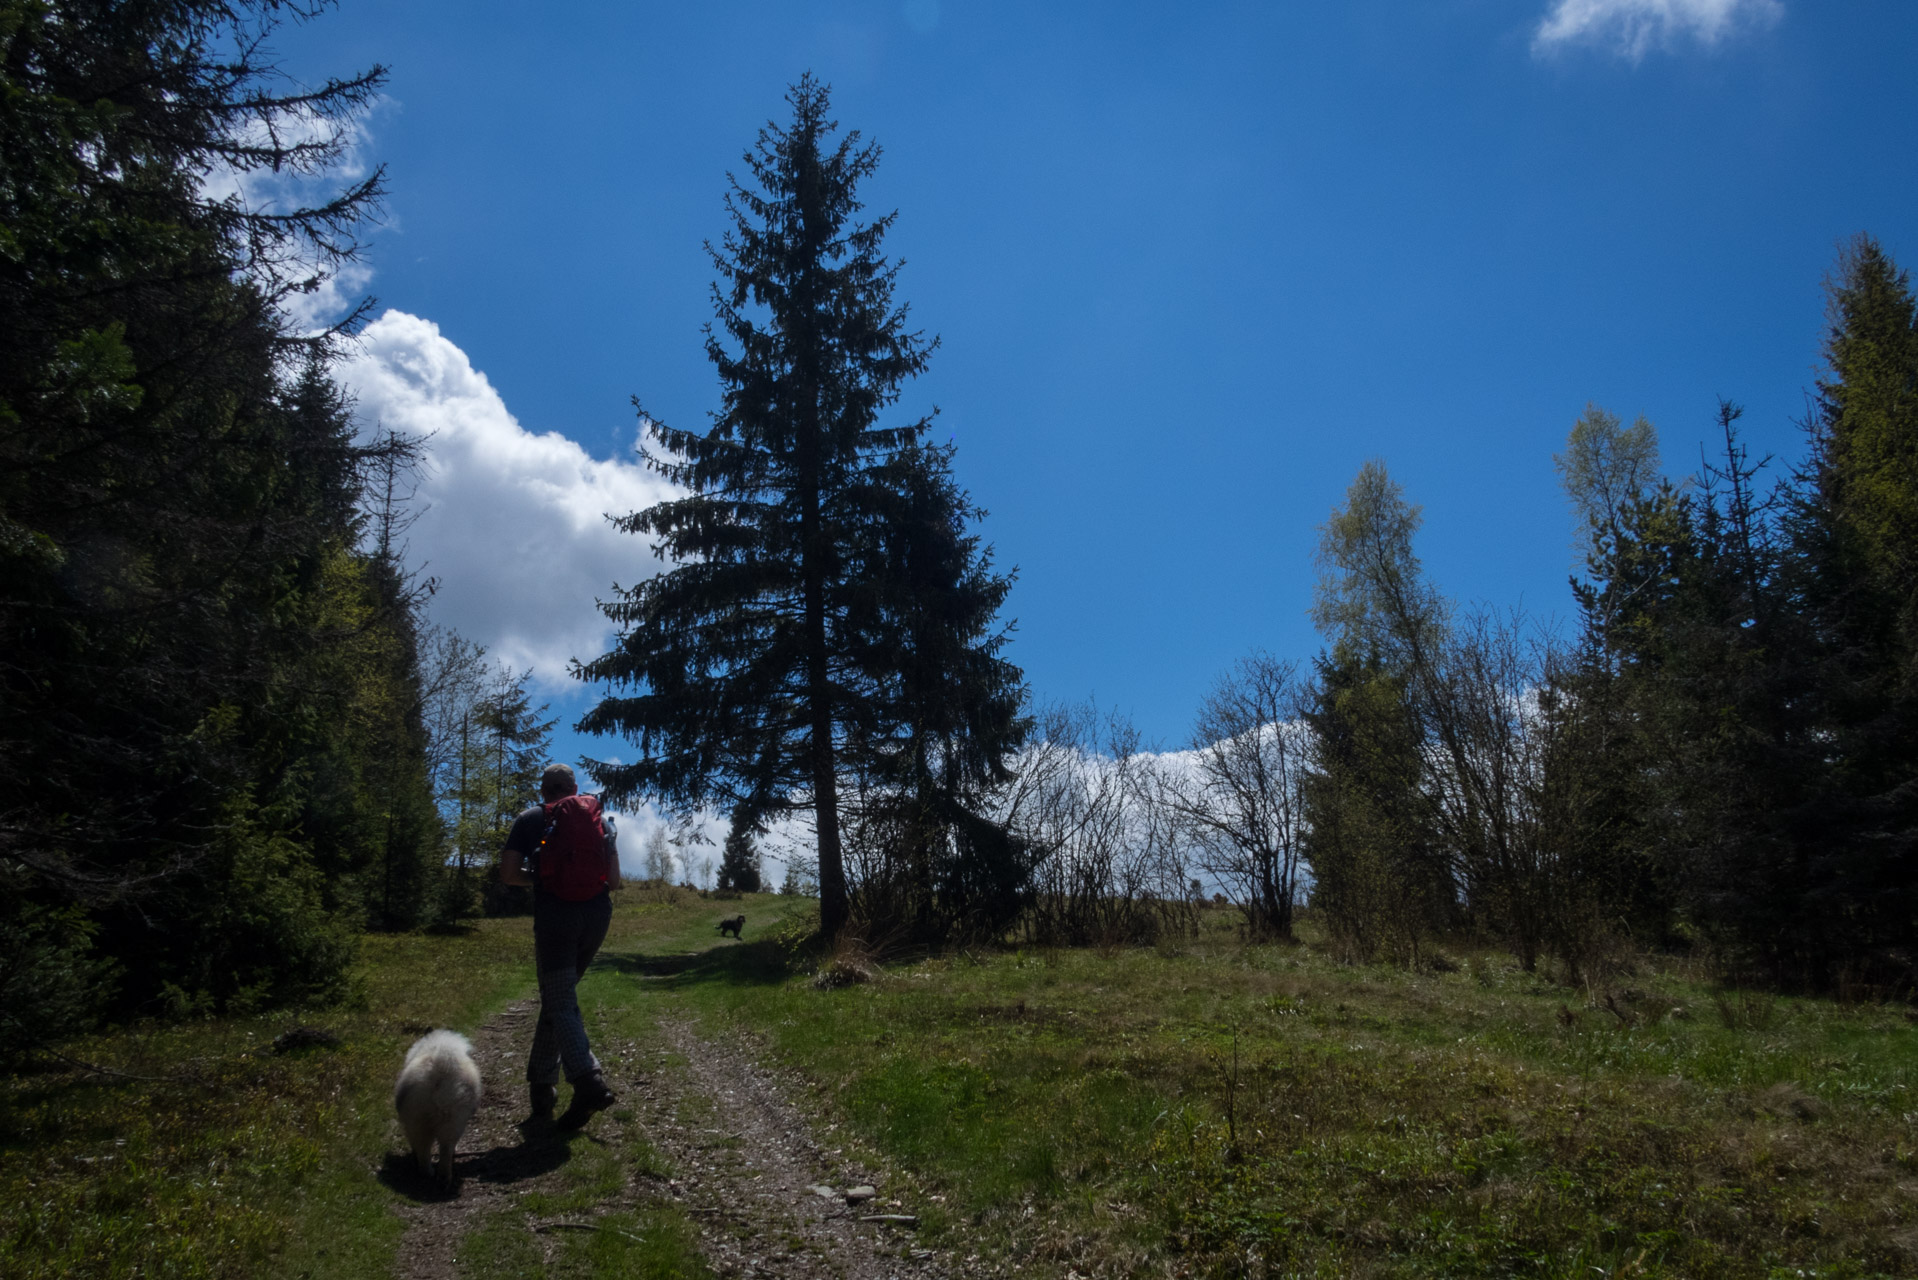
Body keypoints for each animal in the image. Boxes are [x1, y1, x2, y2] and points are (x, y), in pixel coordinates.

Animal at [393, 1028, 483, 1189]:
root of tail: (440, 1071)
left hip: (418, 1120)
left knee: (423, 1148)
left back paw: (426, 1172)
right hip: (452, 1121)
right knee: (446, 1150)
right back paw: (444, 1178)